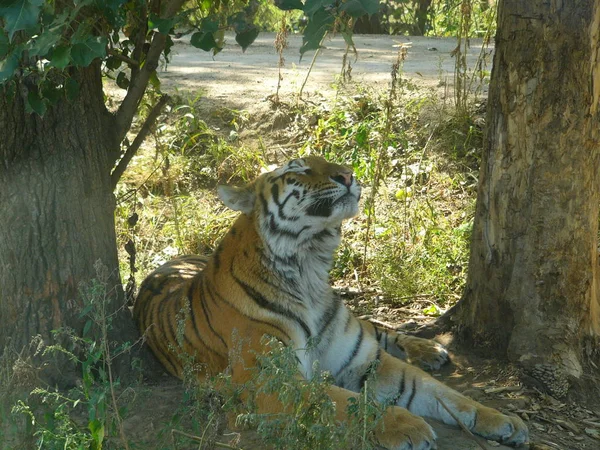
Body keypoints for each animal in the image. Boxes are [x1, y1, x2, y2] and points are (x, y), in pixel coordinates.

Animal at [134, 156, 528, 448]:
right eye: (297, 170)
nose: (349, 175)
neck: (309, 263)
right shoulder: (271, 380)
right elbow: (342, 401)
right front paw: (408, 426)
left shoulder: (364, 359)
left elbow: (439, 392)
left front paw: (502, 420)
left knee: (381, 328)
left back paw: (429, 349)